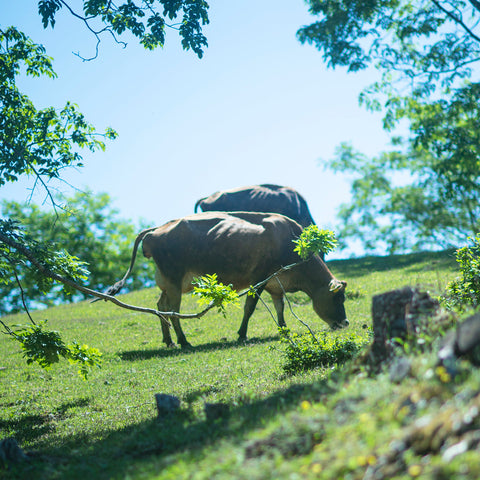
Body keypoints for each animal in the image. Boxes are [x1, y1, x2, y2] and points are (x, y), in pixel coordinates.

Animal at [107, 212, 346, 346]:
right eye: (338, 298)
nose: (345, 322)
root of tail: (157, 229)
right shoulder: (259, 278)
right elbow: (250, 307)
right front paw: (242, 334)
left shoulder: (276, 285)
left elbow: (280, 308)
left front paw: (284, 329)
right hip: (174, 280)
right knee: (173, 311)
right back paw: (184, 341)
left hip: (168, 283)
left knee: (160, 306)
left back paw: (169, 341)